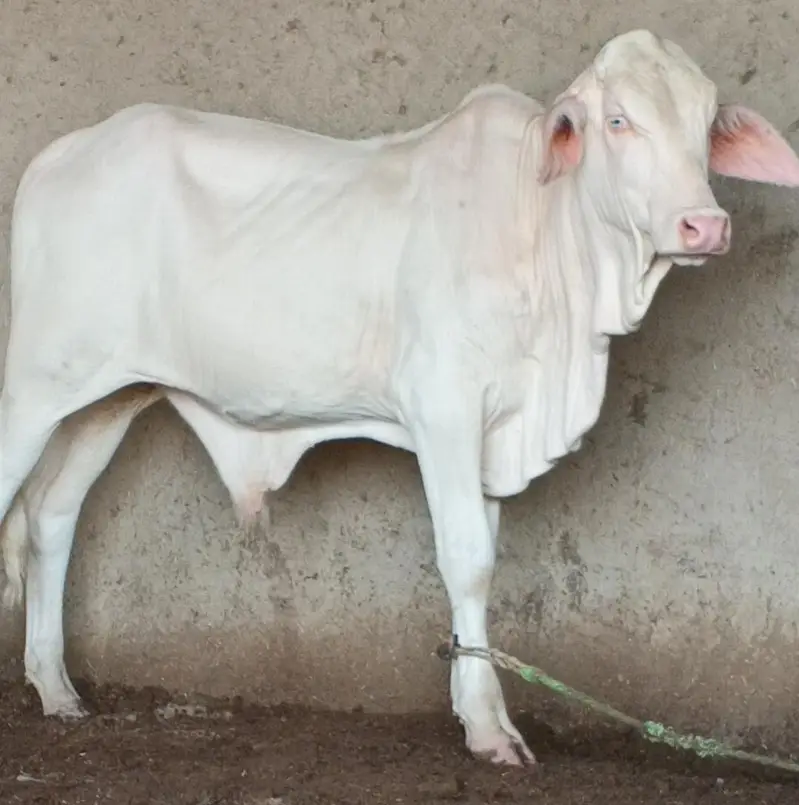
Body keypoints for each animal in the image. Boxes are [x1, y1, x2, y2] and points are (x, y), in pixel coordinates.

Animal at [1, 28, 799, 767]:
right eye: (618, 120)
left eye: (705, 124)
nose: (705, 224)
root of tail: (61, 154)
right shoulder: (445, 408)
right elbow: (466, 557)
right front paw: (488, 727)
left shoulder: (495, 429)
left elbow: (484, 560)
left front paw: (474, 704)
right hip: (34, 388)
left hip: (106, 396)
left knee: (52, 515)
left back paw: (57, 687)